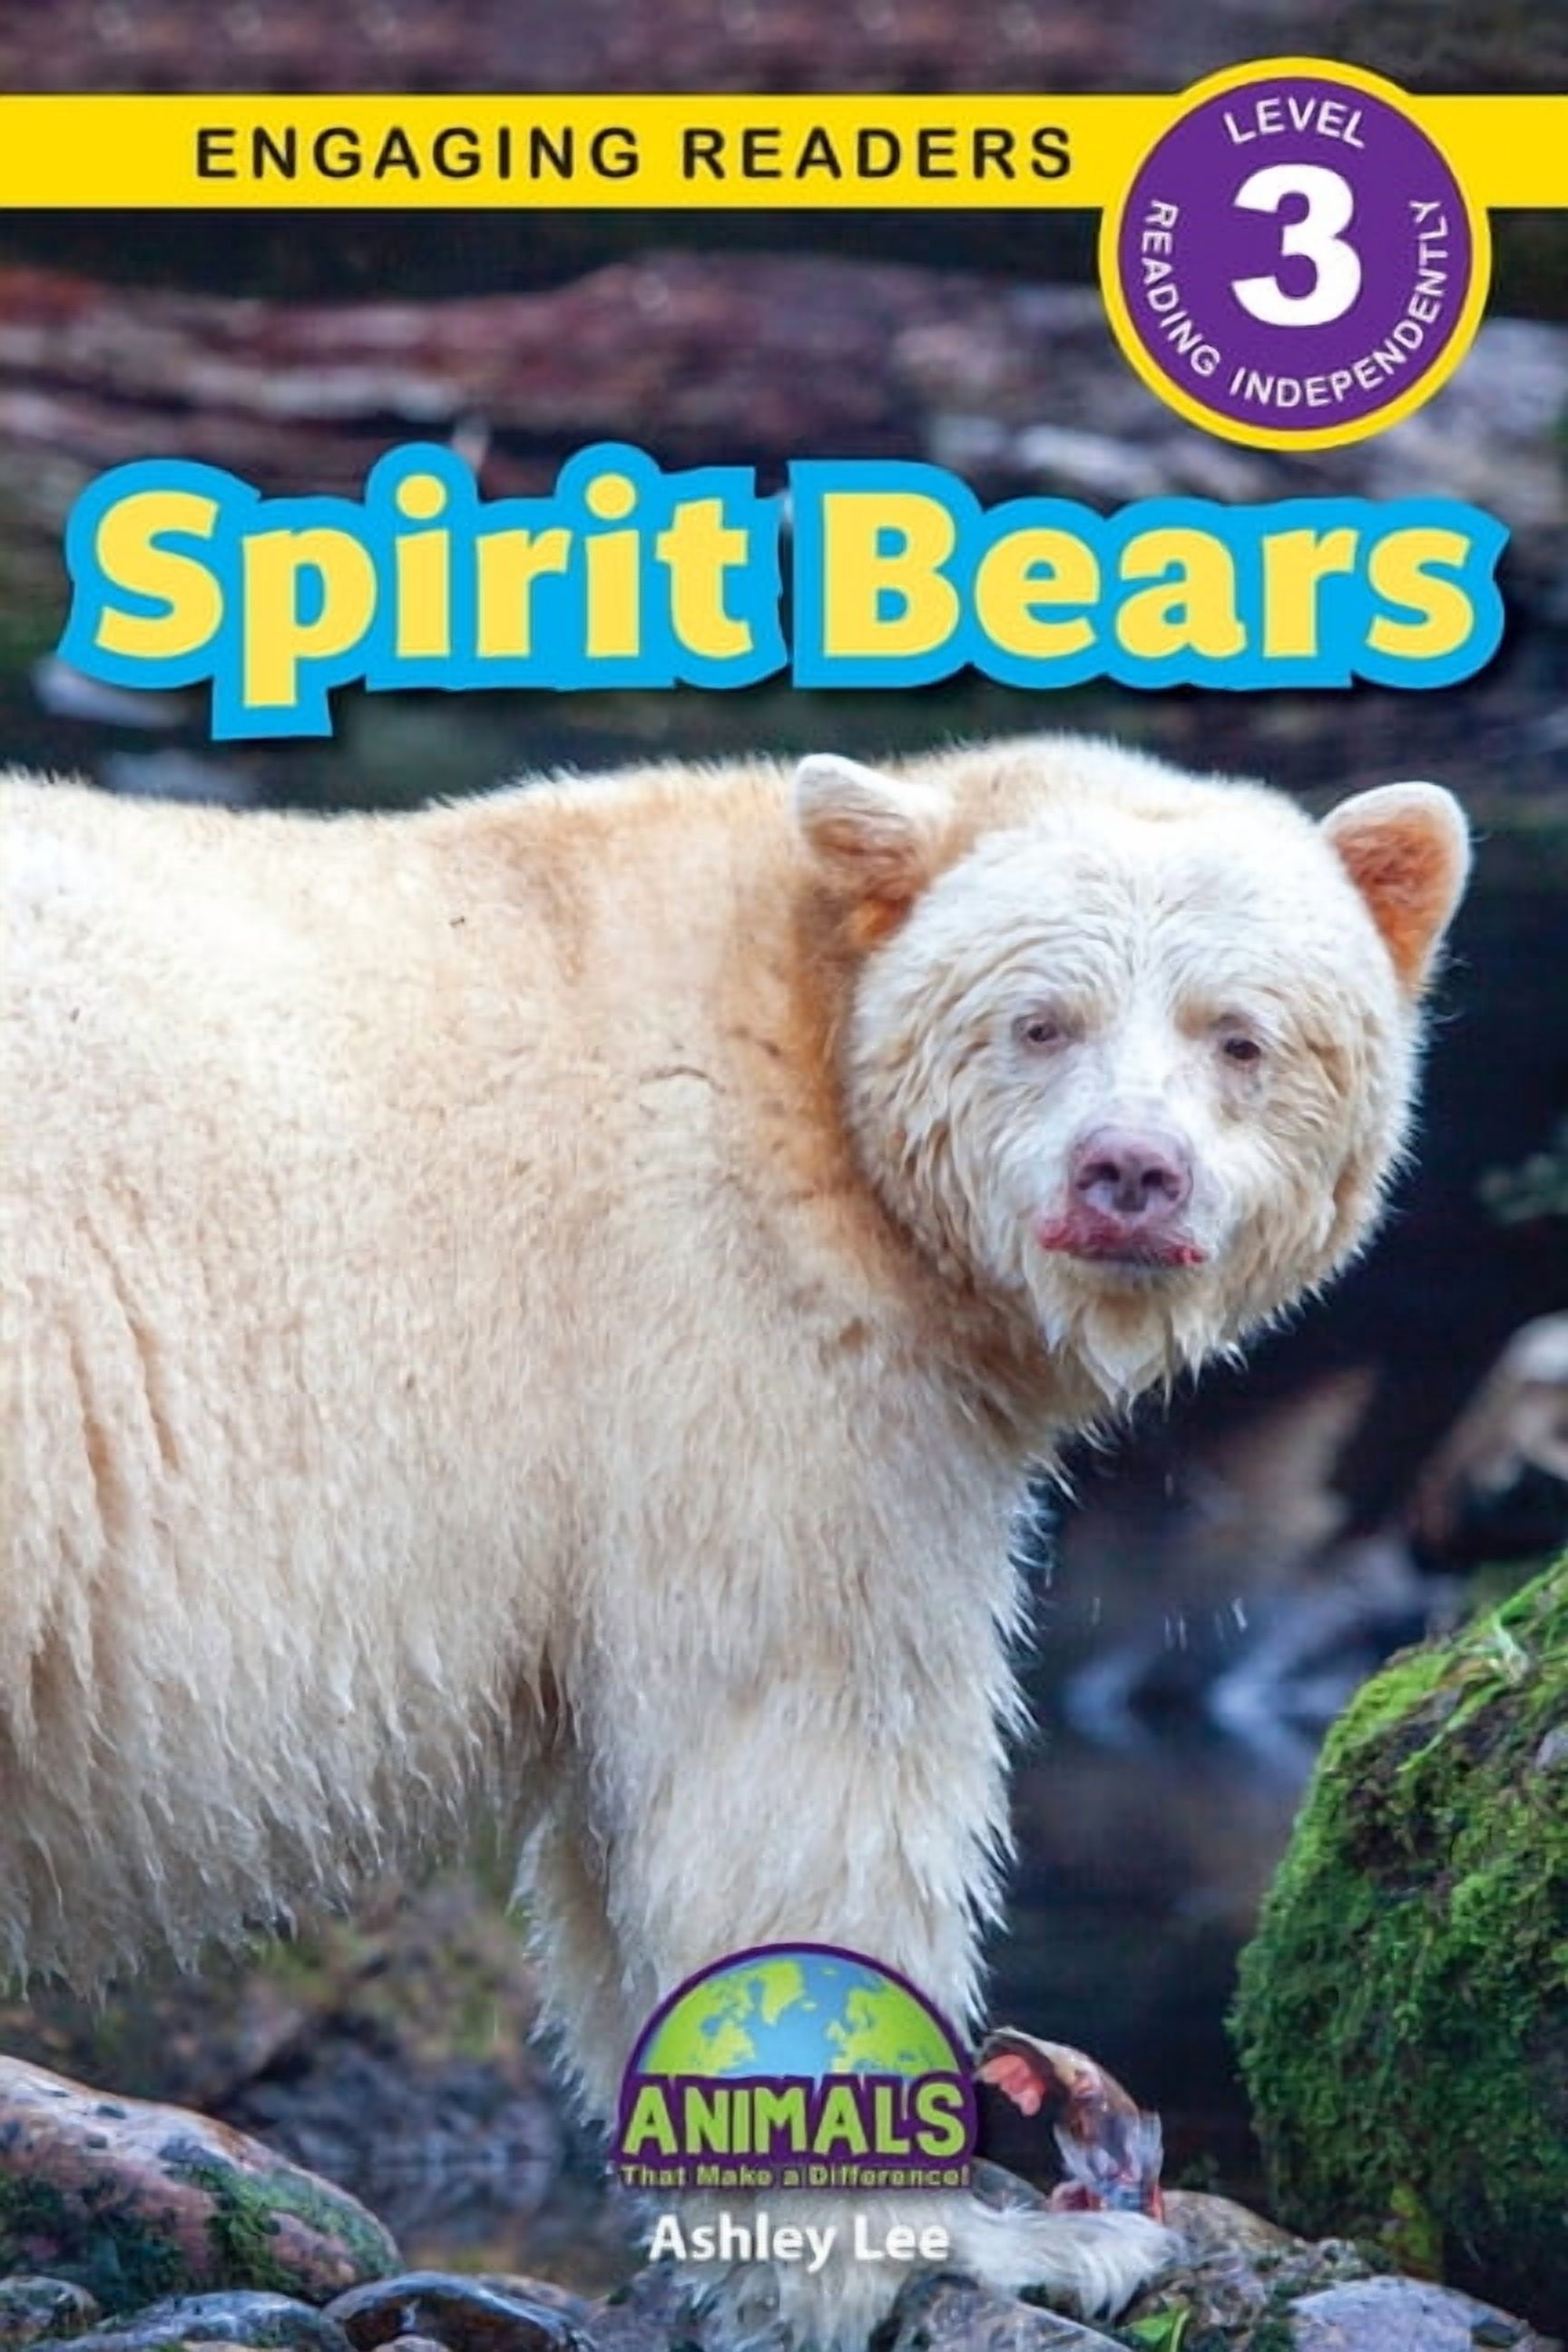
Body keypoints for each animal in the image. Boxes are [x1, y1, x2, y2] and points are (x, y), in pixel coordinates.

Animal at [0, 735, 1470, 2346]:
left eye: (1240, 1038)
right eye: (1041, 1022)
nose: (1128, 1174)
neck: (799, 1040)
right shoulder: (732, 1333)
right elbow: (797, 1776)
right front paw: (998, 2240)